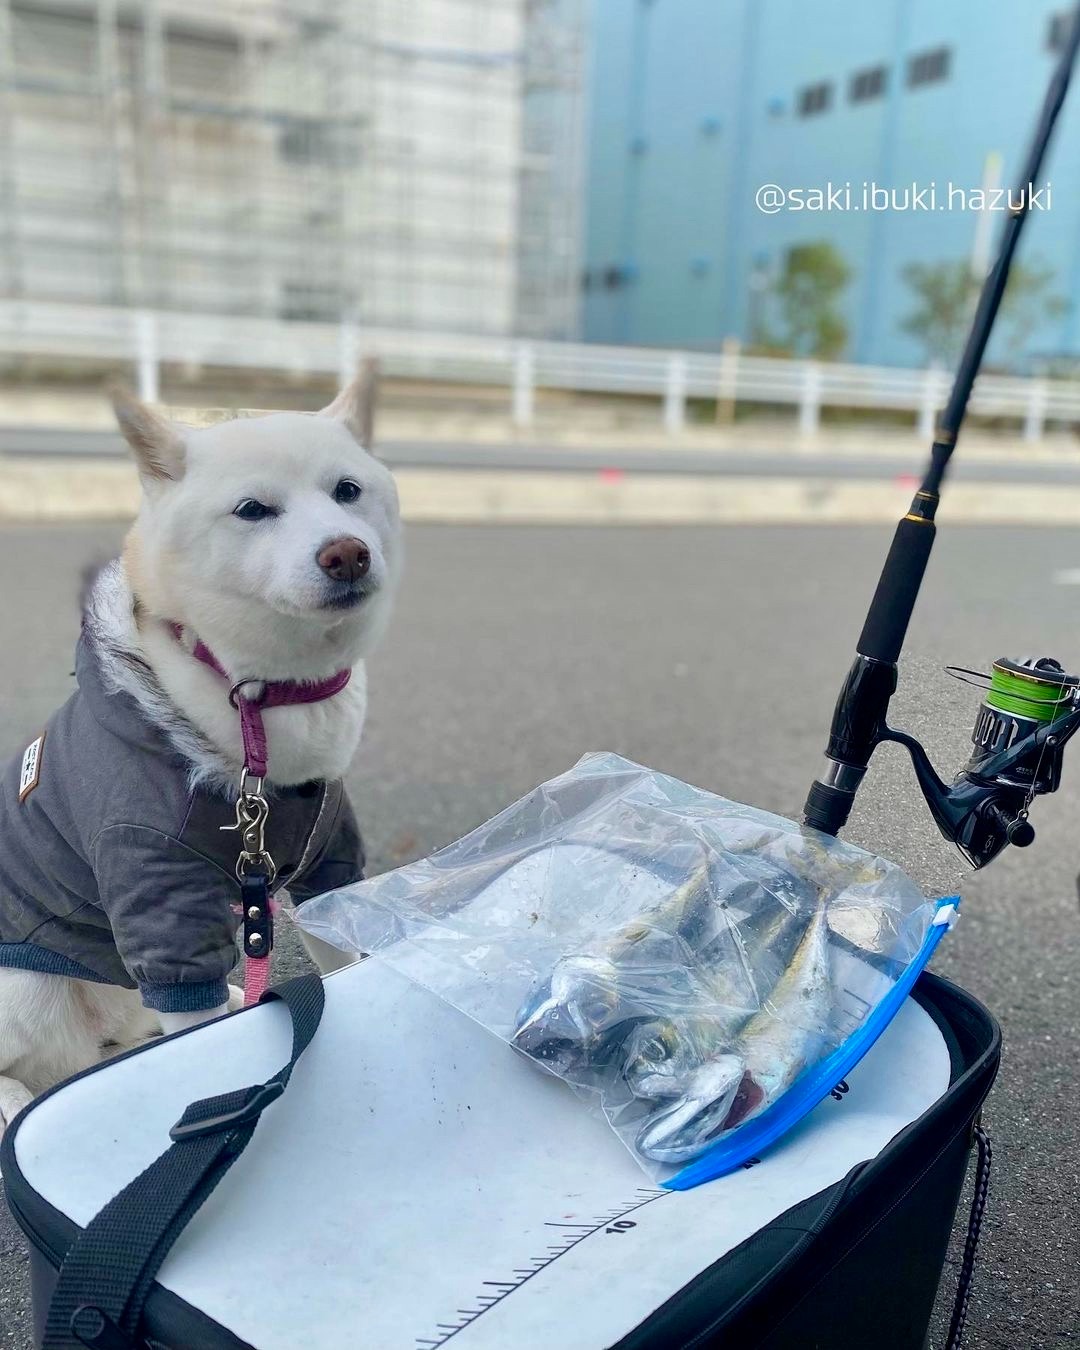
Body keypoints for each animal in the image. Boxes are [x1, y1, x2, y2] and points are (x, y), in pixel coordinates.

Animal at [0, 364, 399, 1134]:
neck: (265, 702)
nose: (346, 552)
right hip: (29, 986)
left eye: (348, 490)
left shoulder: (330, 863)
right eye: (252, 509)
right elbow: (191, 1026)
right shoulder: (158, 896)